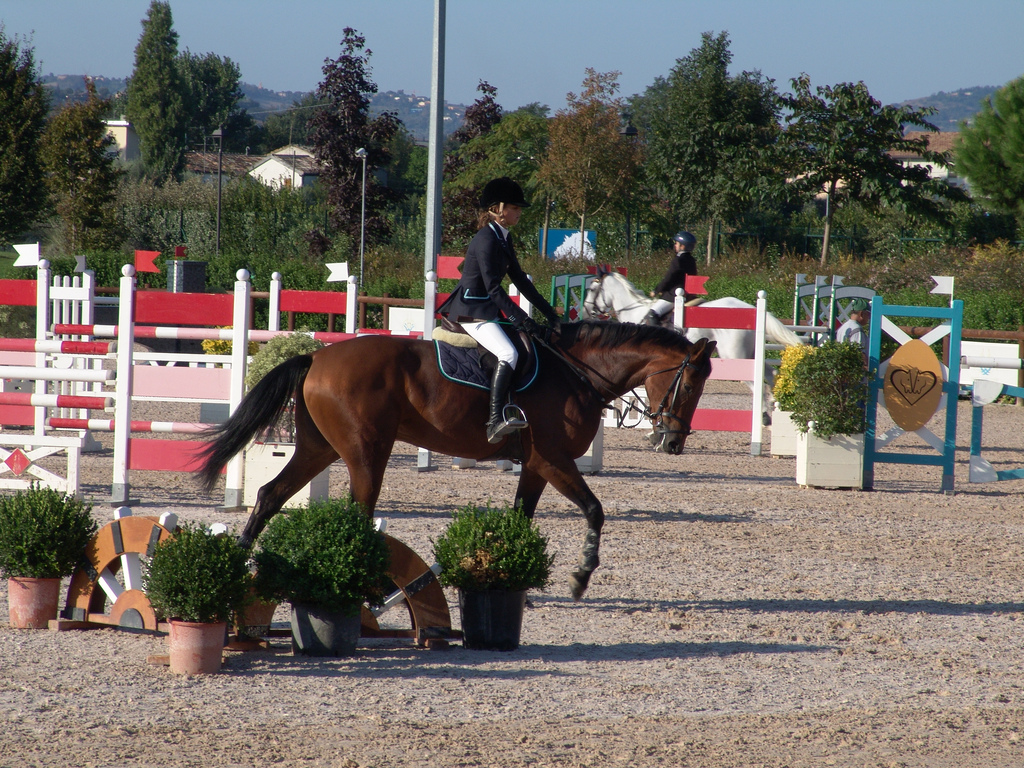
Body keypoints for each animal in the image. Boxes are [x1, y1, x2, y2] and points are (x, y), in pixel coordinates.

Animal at [197, 321, 712, 598]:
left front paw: (508, 572)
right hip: (366, 452)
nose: (673, 443)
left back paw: (236, 565)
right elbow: (594, 510)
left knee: (270, 496)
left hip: (317, 448)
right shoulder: (553, 459)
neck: (575, 373)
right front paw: (581, 576)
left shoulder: (535, 466)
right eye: (689, 383)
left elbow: (521, 518)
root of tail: (317, 358)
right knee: (358, 512)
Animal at [581, 270, 802, 421]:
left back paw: (764, 415)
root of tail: (751, 309)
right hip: (752, 354)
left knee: (757, 384)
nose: (586, 310)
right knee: (771, 375)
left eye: (591, 289)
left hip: (736, 357)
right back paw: (774, 406)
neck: (635, 310)